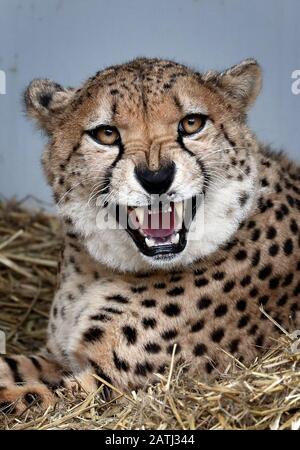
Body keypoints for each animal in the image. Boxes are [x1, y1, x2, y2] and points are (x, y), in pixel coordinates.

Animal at [0, 57, 300, 414]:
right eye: (106, 133)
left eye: (191, 123)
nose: (156, 178)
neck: (100, 269)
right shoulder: (60, 359)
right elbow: (11, 368)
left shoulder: (109, 385)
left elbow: (25, 398)